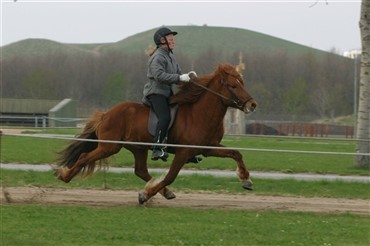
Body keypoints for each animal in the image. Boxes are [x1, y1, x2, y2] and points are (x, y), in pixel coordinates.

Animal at [55, 63, 258, 204]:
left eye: (242, 82)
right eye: (234, 85)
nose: (252, 104)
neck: (200, 114)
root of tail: (106, 114)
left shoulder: (208, 148)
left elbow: (236, 153)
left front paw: (246, 179)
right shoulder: (184, 152)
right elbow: (170, 176)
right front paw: (145, 195)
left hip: (137, 148)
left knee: (140, 171)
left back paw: (164, 191)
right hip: (109, 146)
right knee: (83, 157)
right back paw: (65, 175)